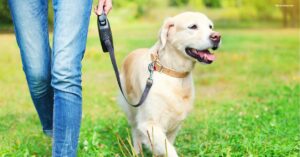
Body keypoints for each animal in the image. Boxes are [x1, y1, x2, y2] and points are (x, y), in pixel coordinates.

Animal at [118, 11, 221, 156]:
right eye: (193, 26)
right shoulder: (149, 123)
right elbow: (170, 150)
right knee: (135, 131)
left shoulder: (174, 125)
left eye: (210, 26)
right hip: (131, 109)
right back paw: (137, 151)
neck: (172, 71)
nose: (217, 36)